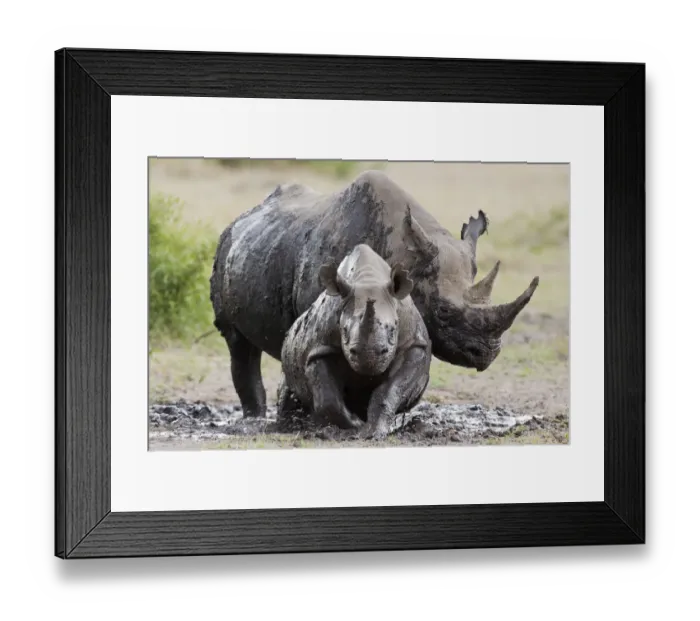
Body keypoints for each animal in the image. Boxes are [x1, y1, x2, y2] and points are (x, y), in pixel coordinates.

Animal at [210, 170, 539, 418]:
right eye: (443, 312)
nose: (488, 352)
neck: (403, 252)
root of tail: (247, 214)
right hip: (225, 246)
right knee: (238, 343)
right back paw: (256, 418)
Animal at [279, 243, 431, 439]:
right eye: (344, 330)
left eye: (393, 329)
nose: (369, 357)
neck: (368, 279)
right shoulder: (321, 349)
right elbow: (328, 398)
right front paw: (356, 426)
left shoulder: (413, 345)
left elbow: (390, 391)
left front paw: (374, 432)